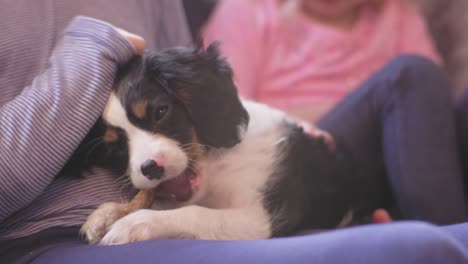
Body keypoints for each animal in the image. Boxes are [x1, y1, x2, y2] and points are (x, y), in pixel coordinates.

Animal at [66, 42, 380, 243]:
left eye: (160, 111)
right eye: (114, 148)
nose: (150, 168)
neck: (216, 165)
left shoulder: (263, 218)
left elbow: (196, 213)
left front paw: (136, 222)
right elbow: (162, 201)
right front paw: (108, 213)